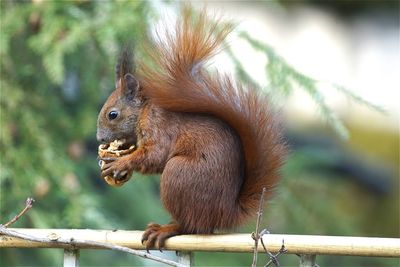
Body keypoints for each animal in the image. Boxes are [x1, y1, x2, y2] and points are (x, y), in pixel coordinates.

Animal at [96, 6, 284, 251]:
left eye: (113, 114)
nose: (99, 139)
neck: (145, 111)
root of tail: (225, 213)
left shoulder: (160, 127)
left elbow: (154, 155)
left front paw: (120, 162)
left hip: (179, 175)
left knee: (192, 226)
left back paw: (166, 228)